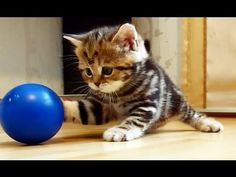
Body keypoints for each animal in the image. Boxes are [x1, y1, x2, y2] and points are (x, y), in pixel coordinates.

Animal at [62, 23, 223, 142]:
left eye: (107, 70)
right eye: (88, 72)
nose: (96, 84)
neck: (120, 91)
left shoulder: (147, 103)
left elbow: (134, 119)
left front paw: (119, 131)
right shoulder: (99, 106)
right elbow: (80, 110)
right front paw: (62, 106)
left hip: (175, 100)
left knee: (190, 113)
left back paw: (208, 123)